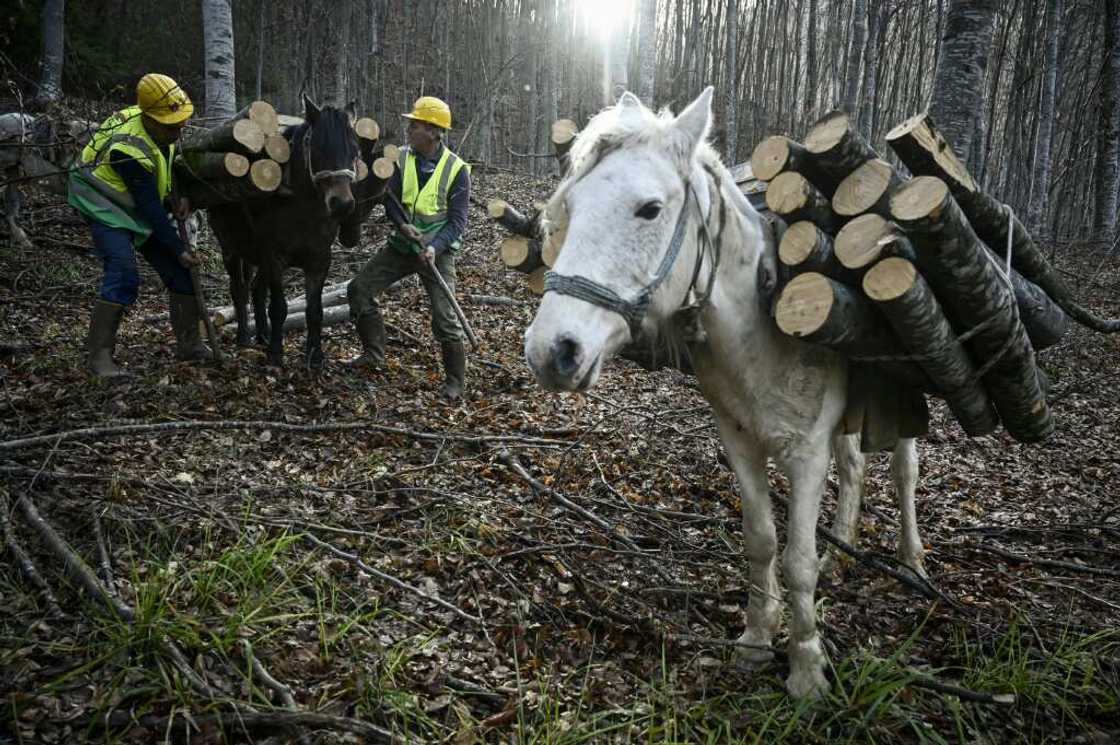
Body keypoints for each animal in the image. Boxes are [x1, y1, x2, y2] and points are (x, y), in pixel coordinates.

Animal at [211, 95, 360, 369]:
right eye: (317, 148)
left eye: (355, 150)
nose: (342, 204)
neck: (300, 208)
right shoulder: (274, 257)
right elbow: (279, 307)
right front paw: (276, 353)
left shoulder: (319, 260)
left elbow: (315, 310)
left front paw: (315, 356)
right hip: (231, 249)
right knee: (239, 290)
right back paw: (245, 337)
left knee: (256, 289)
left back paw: (262, 335)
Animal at [521, 88, 918, 699]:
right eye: (573, 205)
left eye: (650, 209)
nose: (551, 351)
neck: (763, 332)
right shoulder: (738, 440)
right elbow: (761, 540)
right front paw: (756, 640)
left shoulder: (806, 454)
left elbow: (797, 558)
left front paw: (807, 669)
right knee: (854, 466)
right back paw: (841, 551)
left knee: (903, 470)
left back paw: (912, 563)